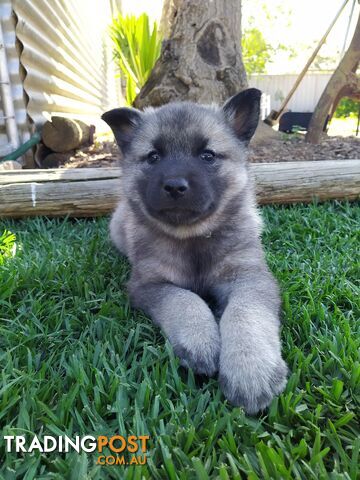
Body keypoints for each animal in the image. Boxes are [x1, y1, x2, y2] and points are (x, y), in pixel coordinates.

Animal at [101, 89, 286, 412]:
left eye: (207, 155)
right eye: (153, 157)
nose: (175, 186)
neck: (193, 238)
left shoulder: (250, 277)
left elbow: (244, 313)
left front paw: (250, 369)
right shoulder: (149, 285)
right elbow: (185, 300)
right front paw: (201, 341)